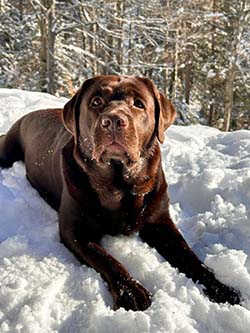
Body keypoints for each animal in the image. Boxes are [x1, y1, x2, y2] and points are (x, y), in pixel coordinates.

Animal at [0, 74, 241, 308]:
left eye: (139, 104)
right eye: (96, 102)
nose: (114, 121)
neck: (120, 185)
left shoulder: (160, 222)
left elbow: (190, 256)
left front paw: (222, 288)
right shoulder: (75, 230)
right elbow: (106, 258)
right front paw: (132, 292)